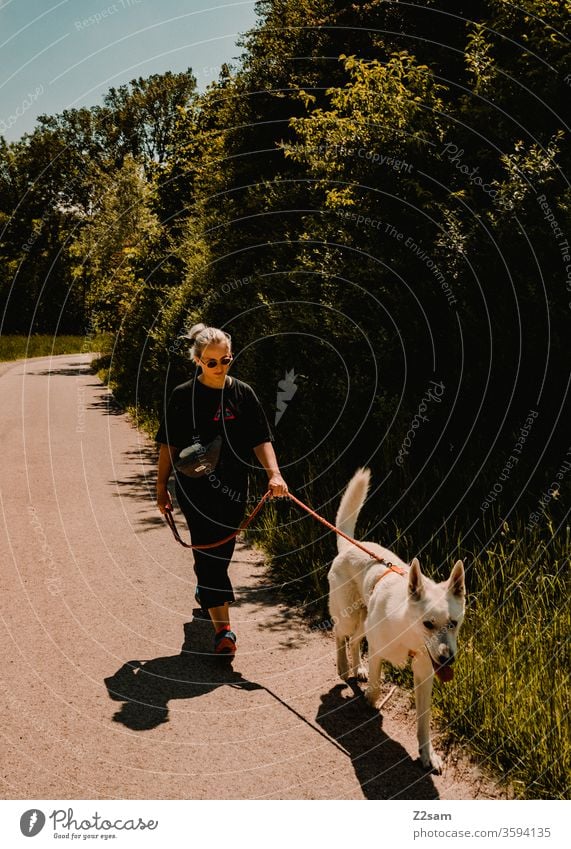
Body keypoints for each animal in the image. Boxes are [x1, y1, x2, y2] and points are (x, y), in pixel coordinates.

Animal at [328, 468, 466, 772]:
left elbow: (424, 723)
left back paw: (357, 668)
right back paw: (344, 667)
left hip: (363, 621)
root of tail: (351, 545)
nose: (448, 659)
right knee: (339, 632)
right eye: (428, 624)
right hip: (350, 617)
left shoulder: (425, 674)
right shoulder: (380, 651)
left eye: (454, 623)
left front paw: (427, 755)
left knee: (355, 641)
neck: (406, 631)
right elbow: (377, 687)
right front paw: (369, 700)